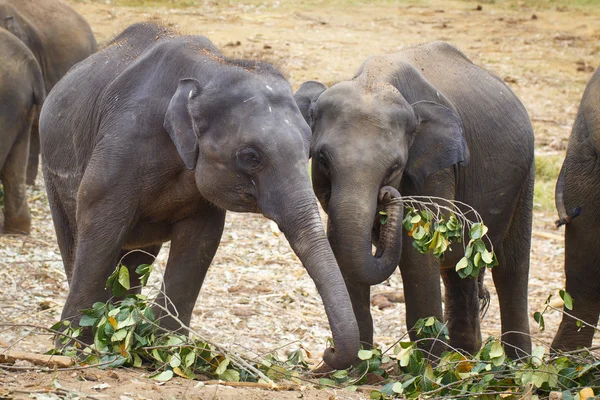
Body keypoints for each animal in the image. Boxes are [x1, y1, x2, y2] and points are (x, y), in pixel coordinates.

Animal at [41, 23, 360, 370]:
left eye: (309, 152)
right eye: (250, 156)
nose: (325, 353)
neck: (212, 68)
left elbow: (201, 240)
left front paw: (167, 352)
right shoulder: (121, 146)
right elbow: (101, 226)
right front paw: (73, 350)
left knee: (135, 259)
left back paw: (122, 329)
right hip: (51, 169)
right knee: (76, 240)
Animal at [296, 40, 536, 360]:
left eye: (395, 167)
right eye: (322, 158)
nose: (327, 352)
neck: (374, 79)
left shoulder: (438, 169)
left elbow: (417, 252)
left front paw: (425, 365)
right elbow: (339, 245)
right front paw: (356, 365)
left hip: (525, 177)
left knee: (511, 267)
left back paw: (513, 363)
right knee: (459, 268)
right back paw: (462, 357)